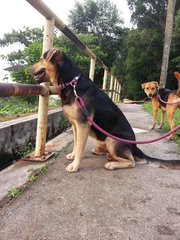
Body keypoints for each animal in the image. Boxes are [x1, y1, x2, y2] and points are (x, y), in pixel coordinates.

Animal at [29, 48, 180, 172]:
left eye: (41, 59)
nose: (29, 69)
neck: (72, 83)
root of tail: (134, 147)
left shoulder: (83, 124)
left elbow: (79, 147)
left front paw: (75, 165)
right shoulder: (75, 125)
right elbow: (76, 144)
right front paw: (72, 155)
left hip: (112, 140)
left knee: (132, 162)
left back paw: (112, 164)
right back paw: (107, 156)